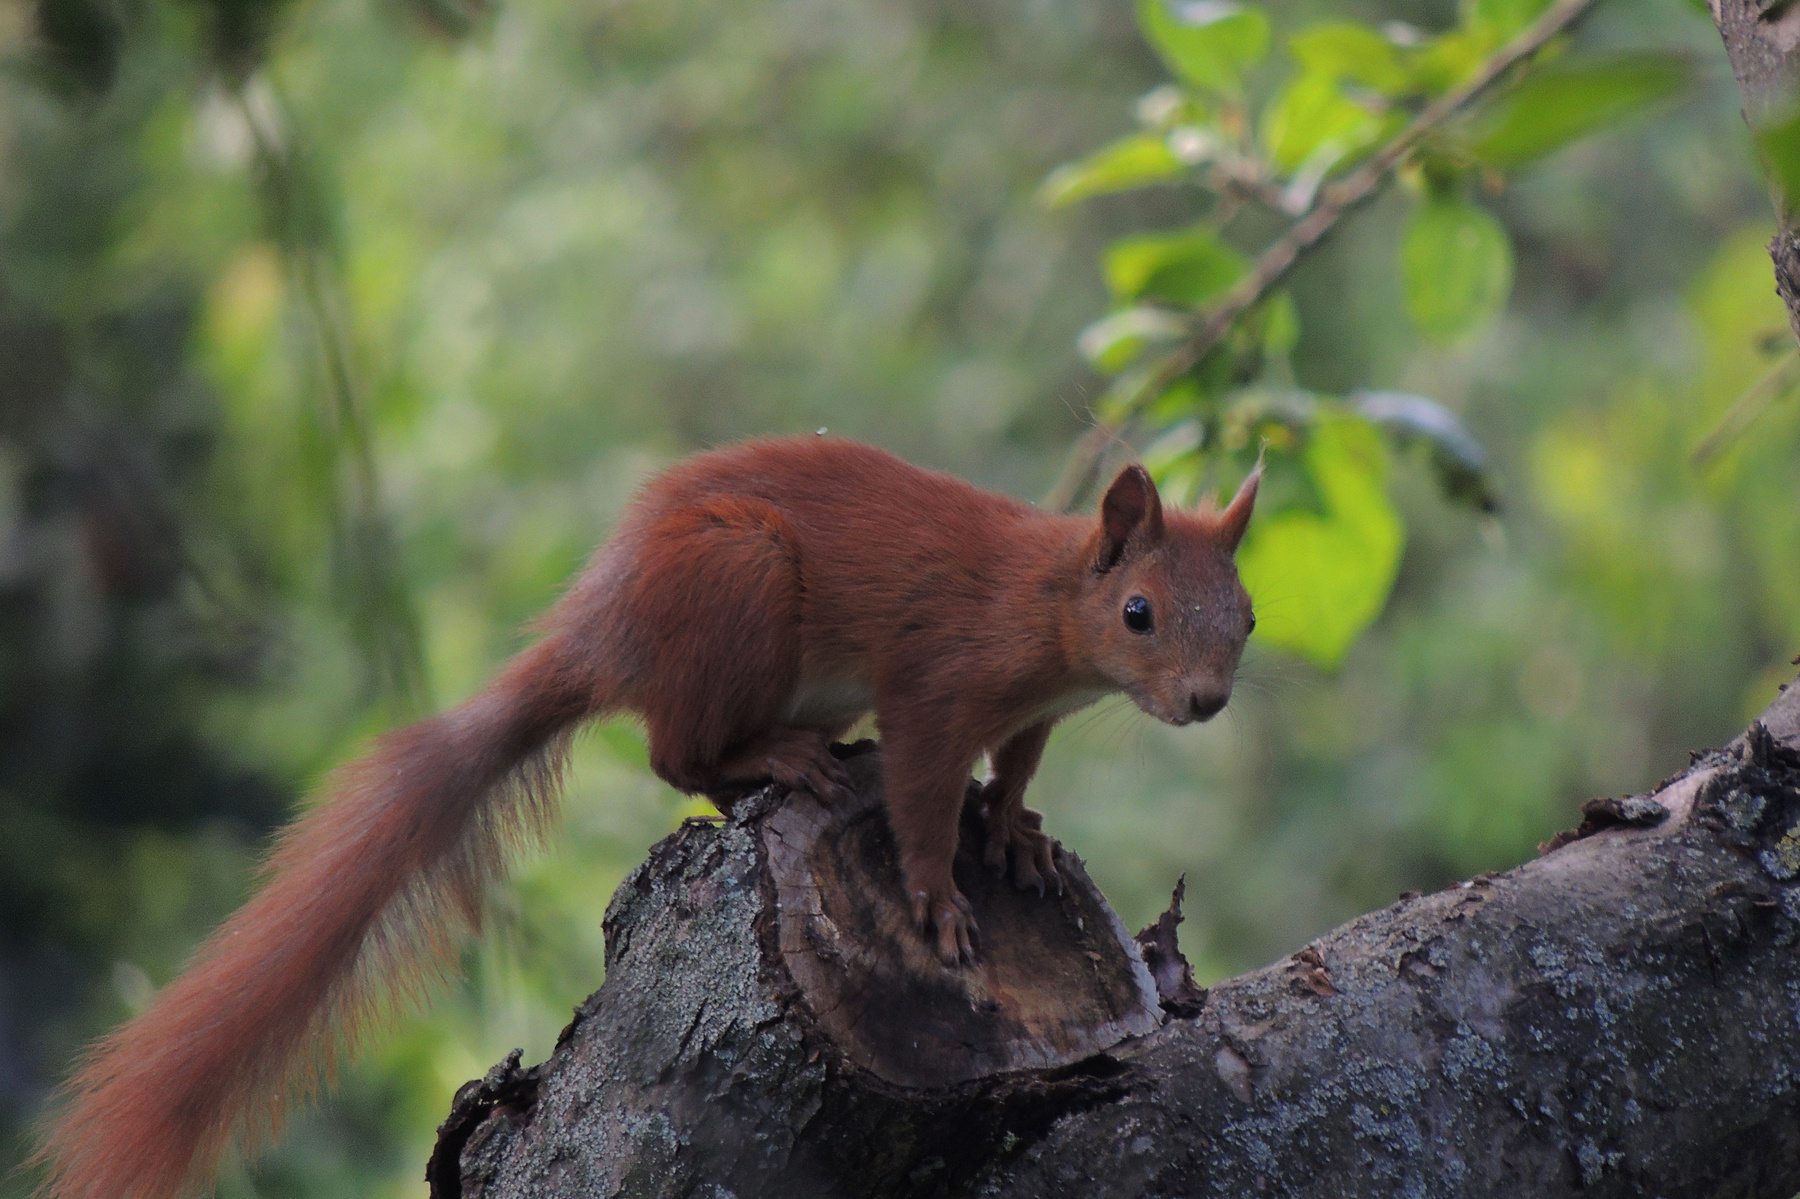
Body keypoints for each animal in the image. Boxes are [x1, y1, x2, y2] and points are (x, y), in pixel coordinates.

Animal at [35, 434, 1258, 1199]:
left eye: (1245, 615)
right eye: (1138, 612)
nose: (1207, 703)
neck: (1045, 601)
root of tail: (603, 628)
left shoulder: (1028, 712)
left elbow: (1010, 772)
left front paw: (1014, 832)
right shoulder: (935, 686)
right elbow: (919, 796)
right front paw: (939, 901)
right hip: (739, 581)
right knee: (677, 753)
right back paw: (778, 759)